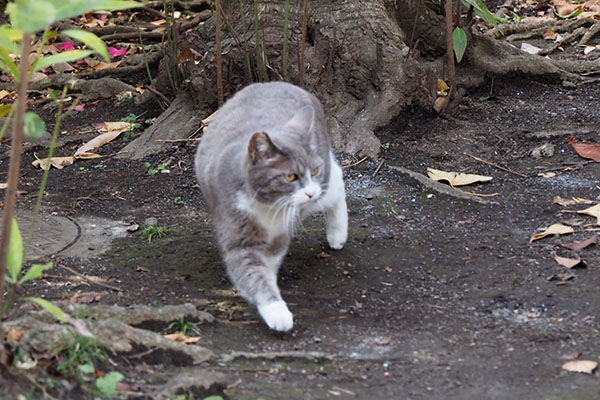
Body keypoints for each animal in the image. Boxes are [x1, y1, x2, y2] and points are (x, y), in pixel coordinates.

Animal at [195, 81, 350, 332]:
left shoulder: (280, 234)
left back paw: (337, 235)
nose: (310, 191)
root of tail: (278, 82)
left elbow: (269, 264)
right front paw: (276, 310)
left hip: (322, 189)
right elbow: (256, 274)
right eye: (290, 176)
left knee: (336, 182)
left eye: (314, 170)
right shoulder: (238, 236)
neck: (268, 207)